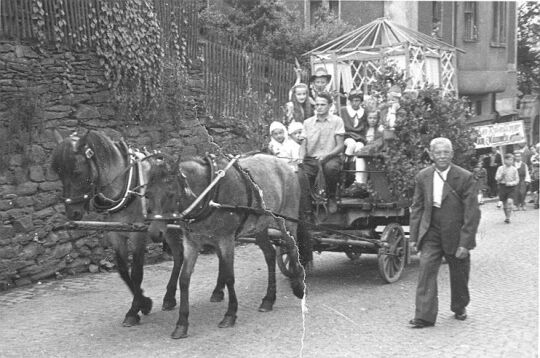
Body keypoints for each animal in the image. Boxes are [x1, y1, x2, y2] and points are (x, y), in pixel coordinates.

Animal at [50, 132, 215, 328]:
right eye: (59, 173)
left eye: (77, 172)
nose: (72, 212)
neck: (126, 187)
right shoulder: (115, 234)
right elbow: (123, 270)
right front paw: (144, 303)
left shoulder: (139, 234)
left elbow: (136, 272)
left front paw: (135, 310)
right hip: (167, 228)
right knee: (179, 255)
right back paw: (169, 298)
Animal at [147, 153, 308, 338]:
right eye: (147, 195)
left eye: (171, 194)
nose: (155, 233)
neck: (207, 195)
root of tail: (286, 165)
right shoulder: (192, 242)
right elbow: (184, 279)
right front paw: (182, 323)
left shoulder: (226, 239)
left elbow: (230, 276)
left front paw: (230, 314)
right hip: (260, 226)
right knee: (270, 254)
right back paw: (268, 299)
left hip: (287, 220)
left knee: (292, 247)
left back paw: (298, 283)